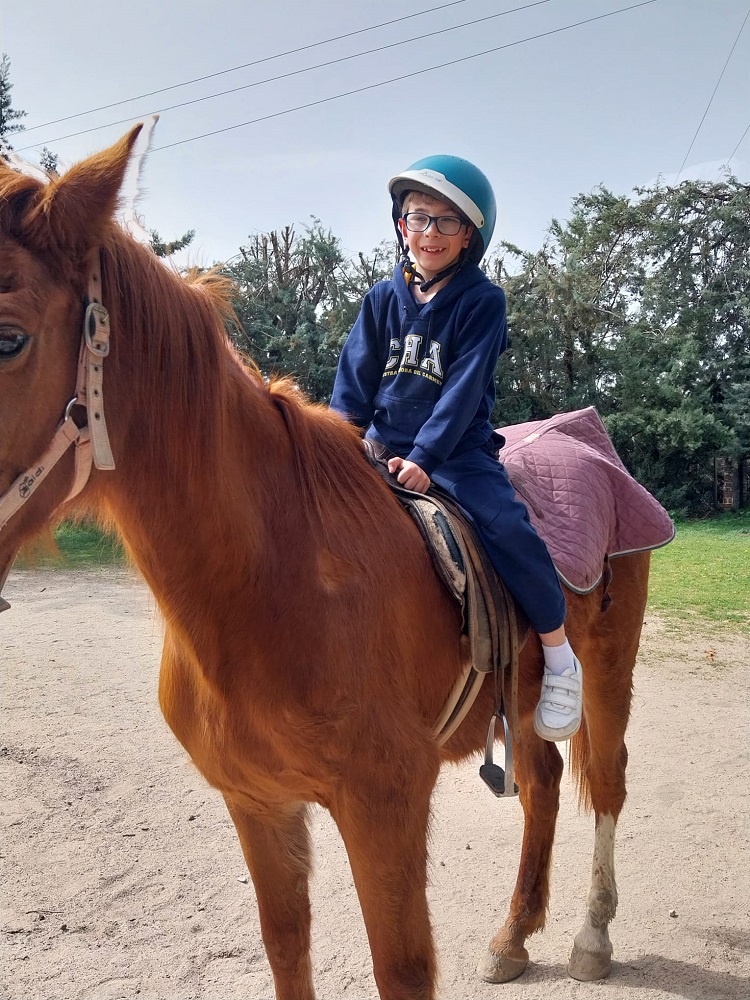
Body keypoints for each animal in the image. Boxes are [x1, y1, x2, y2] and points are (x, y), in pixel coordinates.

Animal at [0, 126, 650, 1000]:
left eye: (9, 337)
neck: (274, 580)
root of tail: (590, 438)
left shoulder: (385, 809)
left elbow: (401, 968)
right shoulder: (259, 806)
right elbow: (287, 946)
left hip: (609, 666)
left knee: (606, 780)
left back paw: (591, 934)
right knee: (543, 785)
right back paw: (514, 935)